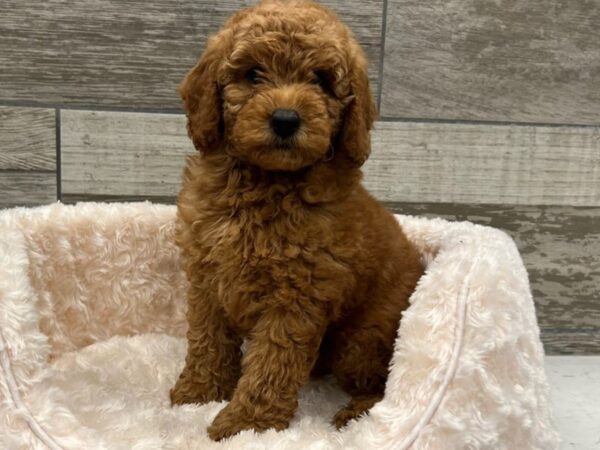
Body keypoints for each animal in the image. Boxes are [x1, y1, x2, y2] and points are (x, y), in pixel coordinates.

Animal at [169, 0, 422, 442]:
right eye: (253, 74)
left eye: (321, 80)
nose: (285, 119)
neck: (266, 181)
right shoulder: (206, 278)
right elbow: (206, 340)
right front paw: (198, 393)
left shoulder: (296, 293)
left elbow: (272, 364)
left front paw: (246, 425)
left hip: (360, 342)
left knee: (381, 384)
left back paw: (355, 415)